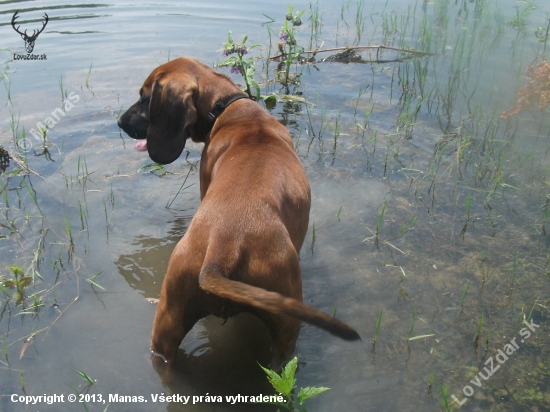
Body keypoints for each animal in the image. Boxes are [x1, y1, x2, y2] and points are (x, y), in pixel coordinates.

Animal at [118, 57, 360, 366]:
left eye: (145, 98)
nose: (119, 122)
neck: (235, 111)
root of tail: (224, 246)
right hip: (286, 324)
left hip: (169, 318)